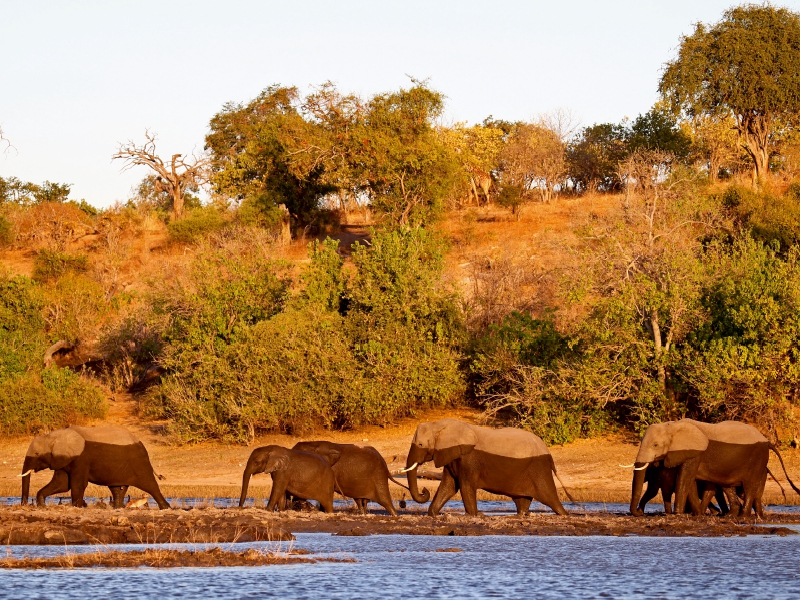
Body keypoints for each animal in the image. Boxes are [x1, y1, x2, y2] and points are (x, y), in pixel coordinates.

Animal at [19, 424, 169, 508]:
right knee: (117, 489)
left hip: (139, 462)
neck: (55, 435)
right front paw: (41, 504)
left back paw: (166, 507)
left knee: (150, 485)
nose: (24, 504)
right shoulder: (63, 459)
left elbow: (77, 483)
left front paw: (77, 507)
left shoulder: (81, 458)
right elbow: (61, 484)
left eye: (37, 454)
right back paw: (118, 508)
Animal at [406, 418, 568, 516]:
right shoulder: (452, 456)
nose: (424, 490)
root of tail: (548, 452)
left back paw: (564, 514)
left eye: (421, 444)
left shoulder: (469, 459)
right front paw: (433, 514)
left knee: (549, 497)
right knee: (522, 501)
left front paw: (474, 515)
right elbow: (449, 486)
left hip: (539, 468)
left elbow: (465, 486)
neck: (439, 425)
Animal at [632, 418, 800, 520]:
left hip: (758, 459)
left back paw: (742, 517)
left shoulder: (694, 452)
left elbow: (684, 479)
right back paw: (732, 516)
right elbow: (690, 482)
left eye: (655, 445)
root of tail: (767, 441)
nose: (638, 513)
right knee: (728, 486)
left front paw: (678, 514)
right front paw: (697, 515)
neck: (673, 425)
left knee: (749, 487)